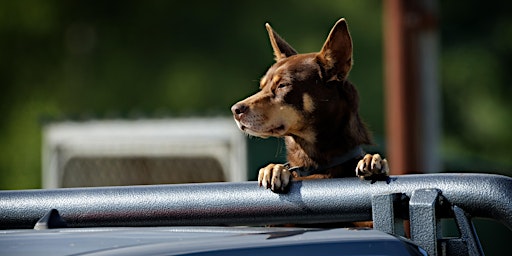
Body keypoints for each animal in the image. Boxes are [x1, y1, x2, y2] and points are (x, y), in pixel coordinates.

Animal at [232, 19, 388, 193]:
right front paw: (274, 169)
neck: (313, 164)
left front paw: (373, 161)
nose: (235, 110)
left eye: (282, 85)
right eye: (262, 86)